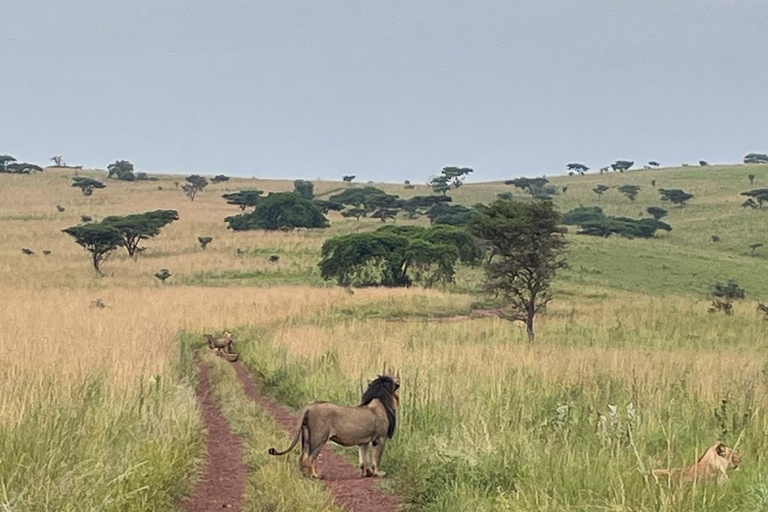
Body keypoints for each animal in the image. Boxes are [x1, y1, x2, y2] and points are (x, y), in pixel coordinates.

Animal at [268, 374, 402, 478]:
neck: (381, 401)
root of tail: (309, 406)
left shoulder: (364, 441)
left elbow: (364, 458)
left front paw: (366, 473)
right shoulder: (380, 438)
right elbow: (377, 458)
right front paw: (378, 473)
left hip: (306, 437)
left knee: (302, 457)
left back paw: (304, 474)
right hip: (319, 438)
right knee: (310, 458)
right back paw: (315, 476)